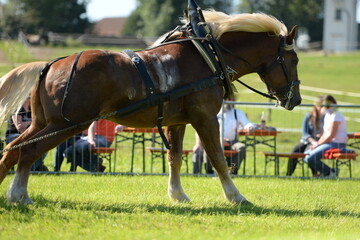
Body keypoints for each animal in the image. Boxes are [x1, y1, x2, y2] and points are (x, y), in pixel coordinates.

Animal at [0, 10, 300, 204]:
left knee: (13, 148)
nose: (295, 100)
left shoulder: (178, 121)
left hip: (44, 123)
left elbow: (175, 157)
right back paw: (18, 195)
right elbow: (218, 158)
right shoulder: (205, 118)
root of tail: (51, 64)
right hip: (67, 124)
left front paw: (178, 194)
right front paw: (236, 196)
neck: (207, 56)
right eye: (294, 59)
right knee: (28, 151)